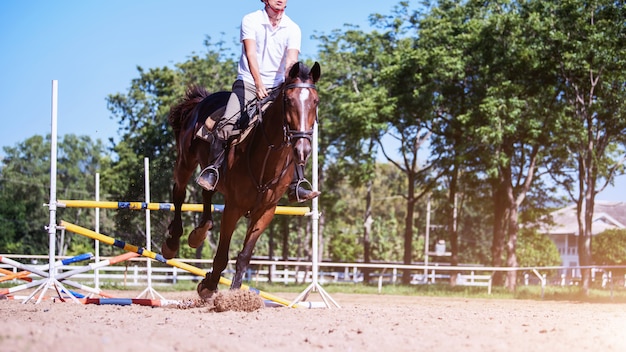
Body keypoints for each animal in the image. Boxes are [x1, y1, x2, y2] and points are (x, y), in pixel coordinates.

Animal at [161, 62, 320, 298]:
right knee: (179, 193)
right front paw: (208, 286)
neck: (266, 156)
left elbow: (244, 256)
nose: (303, 149)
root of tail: (202, 100)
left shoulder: (265, 211)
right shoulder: (233, 207)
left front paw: (236, 296)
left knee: (206, 189)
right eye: (289, 101)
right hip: (185, 162)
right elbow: (221, 255)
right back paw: (172, 242)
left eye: (315, 101)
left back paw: (199, 233)